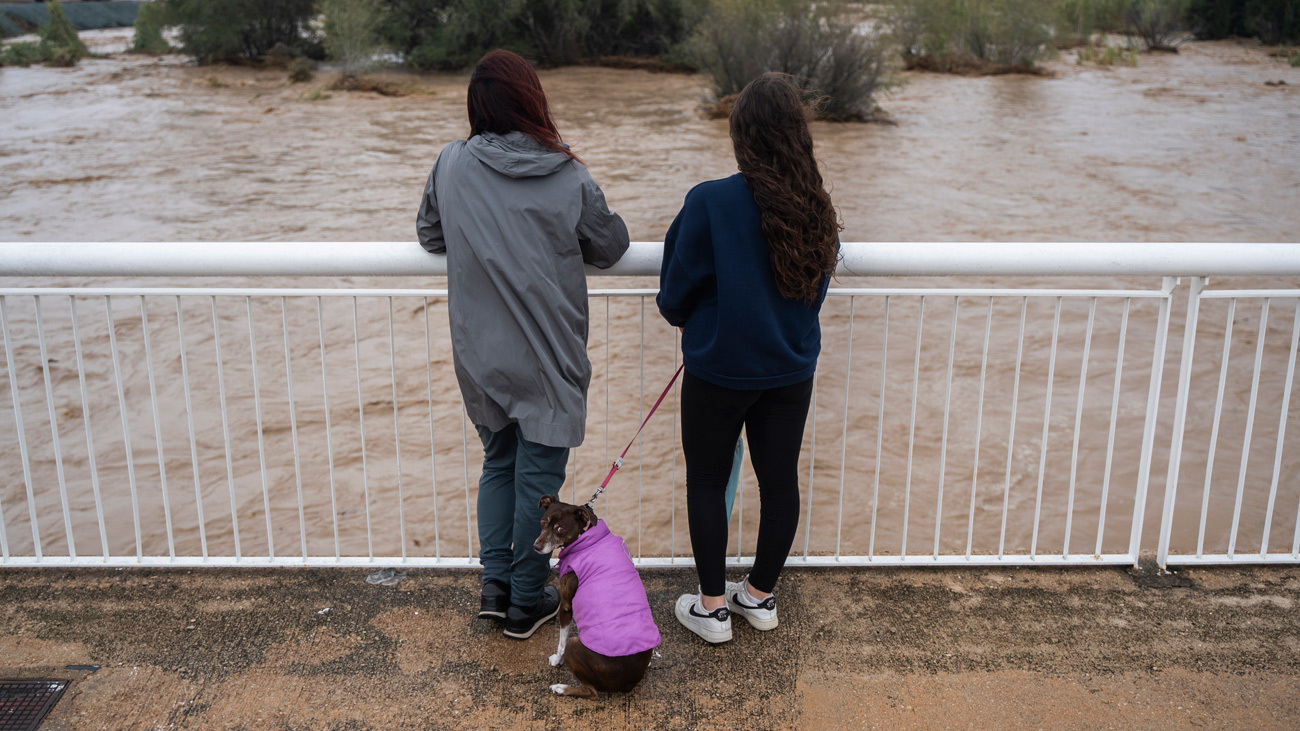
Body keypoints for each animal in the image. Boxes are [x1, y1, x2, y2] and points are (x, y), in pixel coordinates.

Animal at [533, 491, 665, 697]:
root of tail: (628, 684)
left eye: (560, 528)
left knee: (592, 692)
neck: (585, 536)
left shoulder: (566, 605)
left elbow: (561, 641)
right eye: (543, 522)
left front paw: (557, 660)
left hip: (574, 643)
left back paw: (562, 688)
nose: (536, 547)